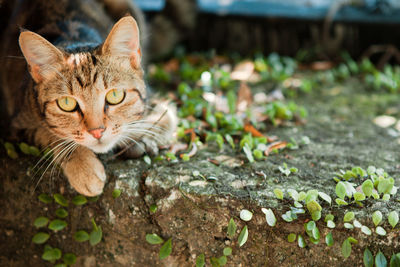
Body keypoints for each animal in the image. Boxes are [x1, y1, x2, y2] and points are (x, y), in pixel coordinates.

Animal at [14, 16, 177, 197]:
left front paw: (140, 137)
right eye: (66, 104)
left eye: (115, 96)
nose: (97, 132)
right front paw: (83, 166)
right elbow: (50, 133)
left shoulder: (159, 103)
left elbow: (161, 121)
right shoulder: (19, 125)